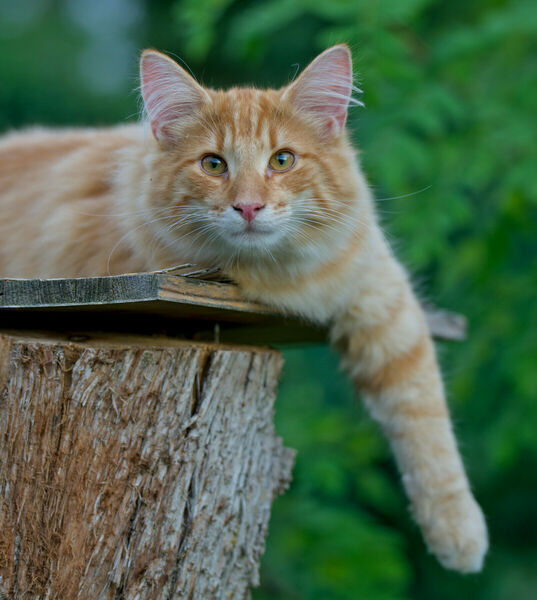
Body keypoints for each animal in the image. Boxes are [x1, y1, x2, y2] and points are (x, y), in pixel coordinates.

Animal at [0, 47, 488, 572]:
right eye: (214, 165)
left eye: (282, 160)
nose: (249, 207)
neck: (277, 276)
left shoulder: (383, 303)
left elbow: (428, 426)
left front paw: (458, 531)